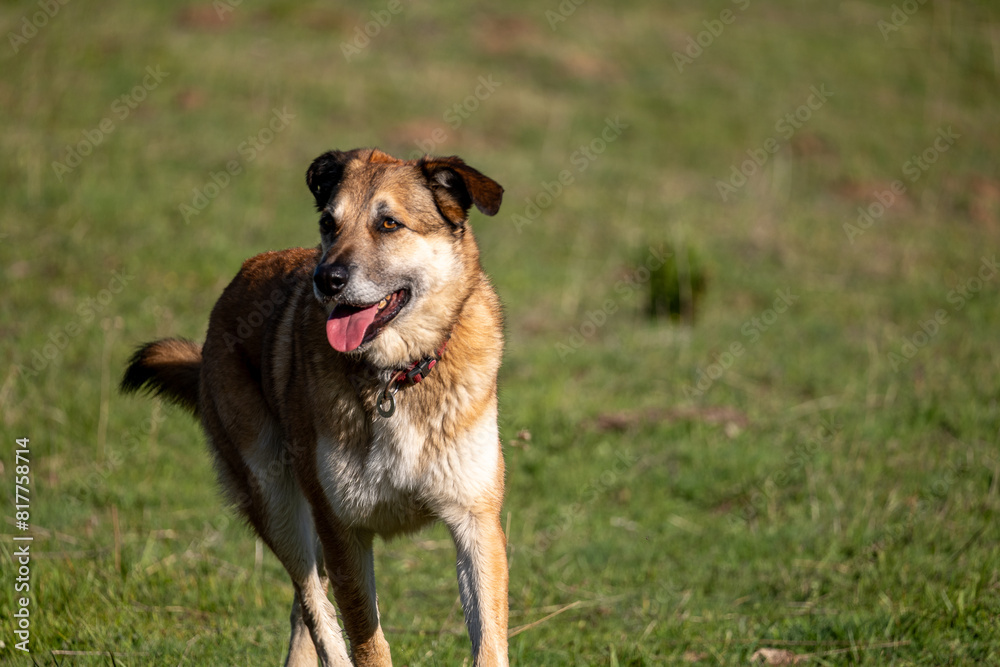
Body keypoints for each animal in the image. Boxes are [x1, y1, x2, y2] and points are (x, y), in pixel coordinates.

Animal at [123, 149, 508, 664]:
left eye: (388, 224)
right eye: (329, 223)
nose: (326, 279)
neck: (394, 377)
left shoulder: (476, 522)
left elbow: (488, 643)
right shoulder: (342, 532)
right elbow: (366, 643)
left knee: (304, 611)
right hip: (280, 506)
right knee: (313, 609)